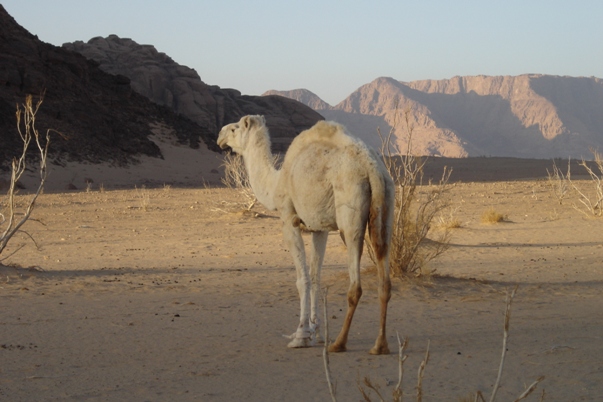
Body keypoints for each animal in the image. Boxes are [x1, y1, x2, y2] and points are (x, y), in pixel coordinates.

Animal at [218, 114, 396, 354]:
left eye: (234, 128)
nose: (220, 135)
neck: (276, 184)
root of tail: (373, 168)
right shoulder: (319, 228)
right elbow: (315, 276)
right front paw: (316, 332)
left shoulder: (288, 219)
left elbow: (302, 279)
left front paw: (300, 335)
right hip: (386, 204)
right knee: (384, 273)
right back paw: (380, 345)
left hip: (350, 210)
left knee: (356, 284)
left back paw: (339, 343)